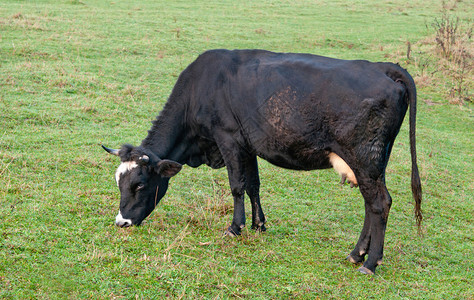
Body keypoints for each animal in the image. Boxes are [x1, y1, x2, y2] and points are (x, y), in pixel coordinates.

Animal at [103, 49, 422, 274]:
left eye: (139, 185)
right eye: (119, 182)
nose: (121, 222)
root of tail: (381, 67)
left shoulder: (228, 139)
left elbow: (236, 186)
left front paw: (235, 227)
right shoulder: (248, 145)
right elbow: (253, 185)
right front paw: (258, 225)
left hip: (364, 159)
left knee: (379, 203)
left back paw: (369, 263)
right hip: (374, 163)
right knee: (372, 205)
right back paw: (358, 254)